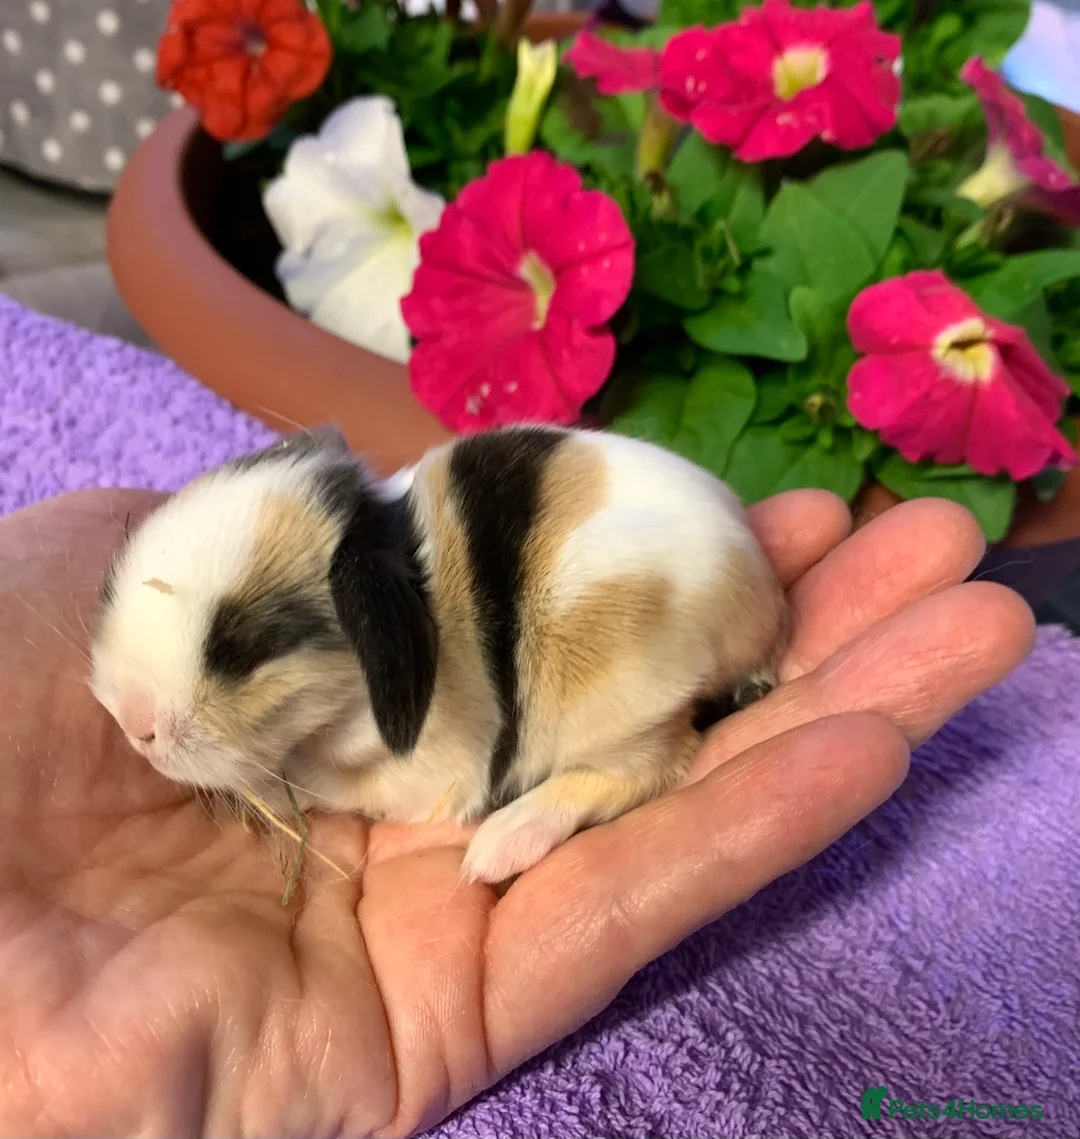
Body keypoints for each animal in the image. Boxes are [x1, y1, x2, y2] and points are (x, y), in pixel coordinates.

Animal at [89, 422, 788, 884]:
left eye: (243, 646)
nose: (131, 723)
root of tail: (761, 600)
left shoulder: (423, 775)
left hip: (618, 708)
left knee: (646, 768)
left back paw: (499, 846)